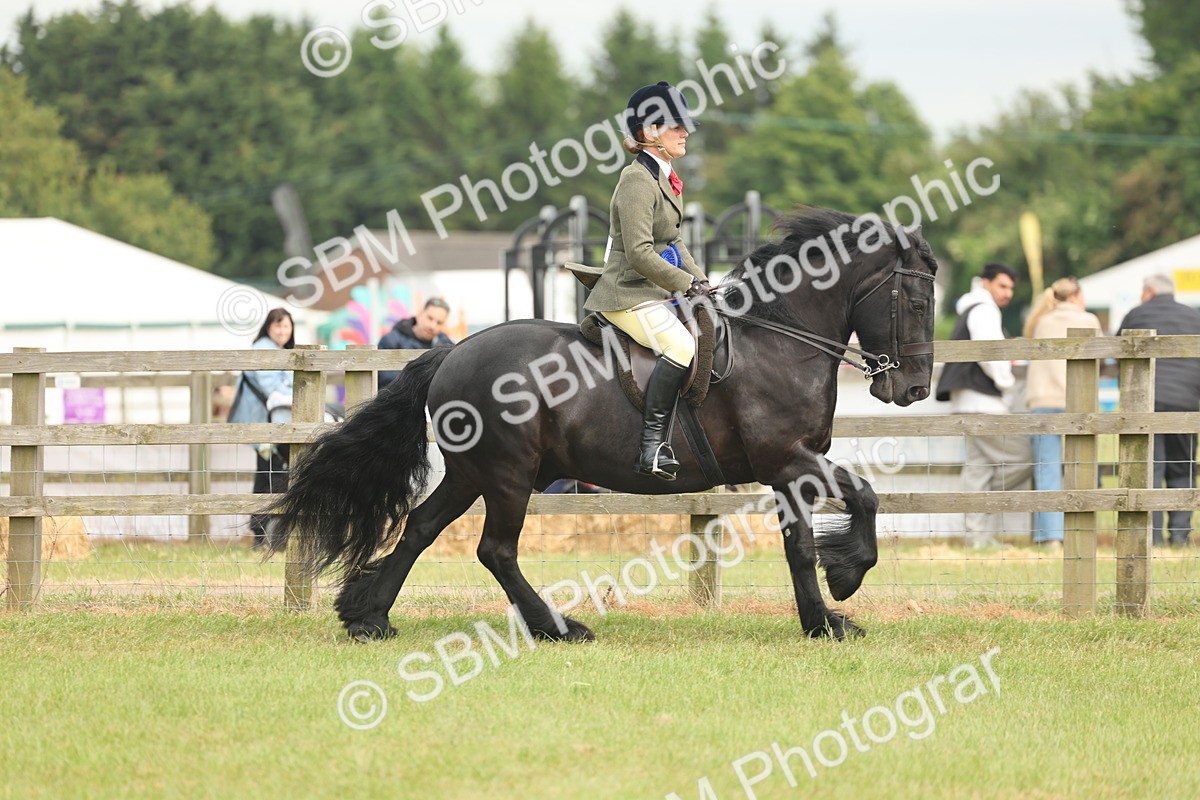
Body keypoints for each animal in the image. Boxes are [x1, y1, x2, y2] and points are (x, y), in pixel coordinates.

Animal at [266, 207, 938, 642]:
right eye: (918, 301)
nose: (913, 389)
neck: (779, 338)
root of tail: (452, 353)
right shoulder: (789, 458)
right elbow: (867, 496)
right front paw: (847, 578)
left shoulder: (789, 468)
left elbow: (800, 544)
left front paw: (823, 620)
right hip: (508, 474)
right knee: (495, 549)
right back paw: (557, 628)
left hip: (472, 474)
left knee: (421, 529)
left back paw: (369, 617)